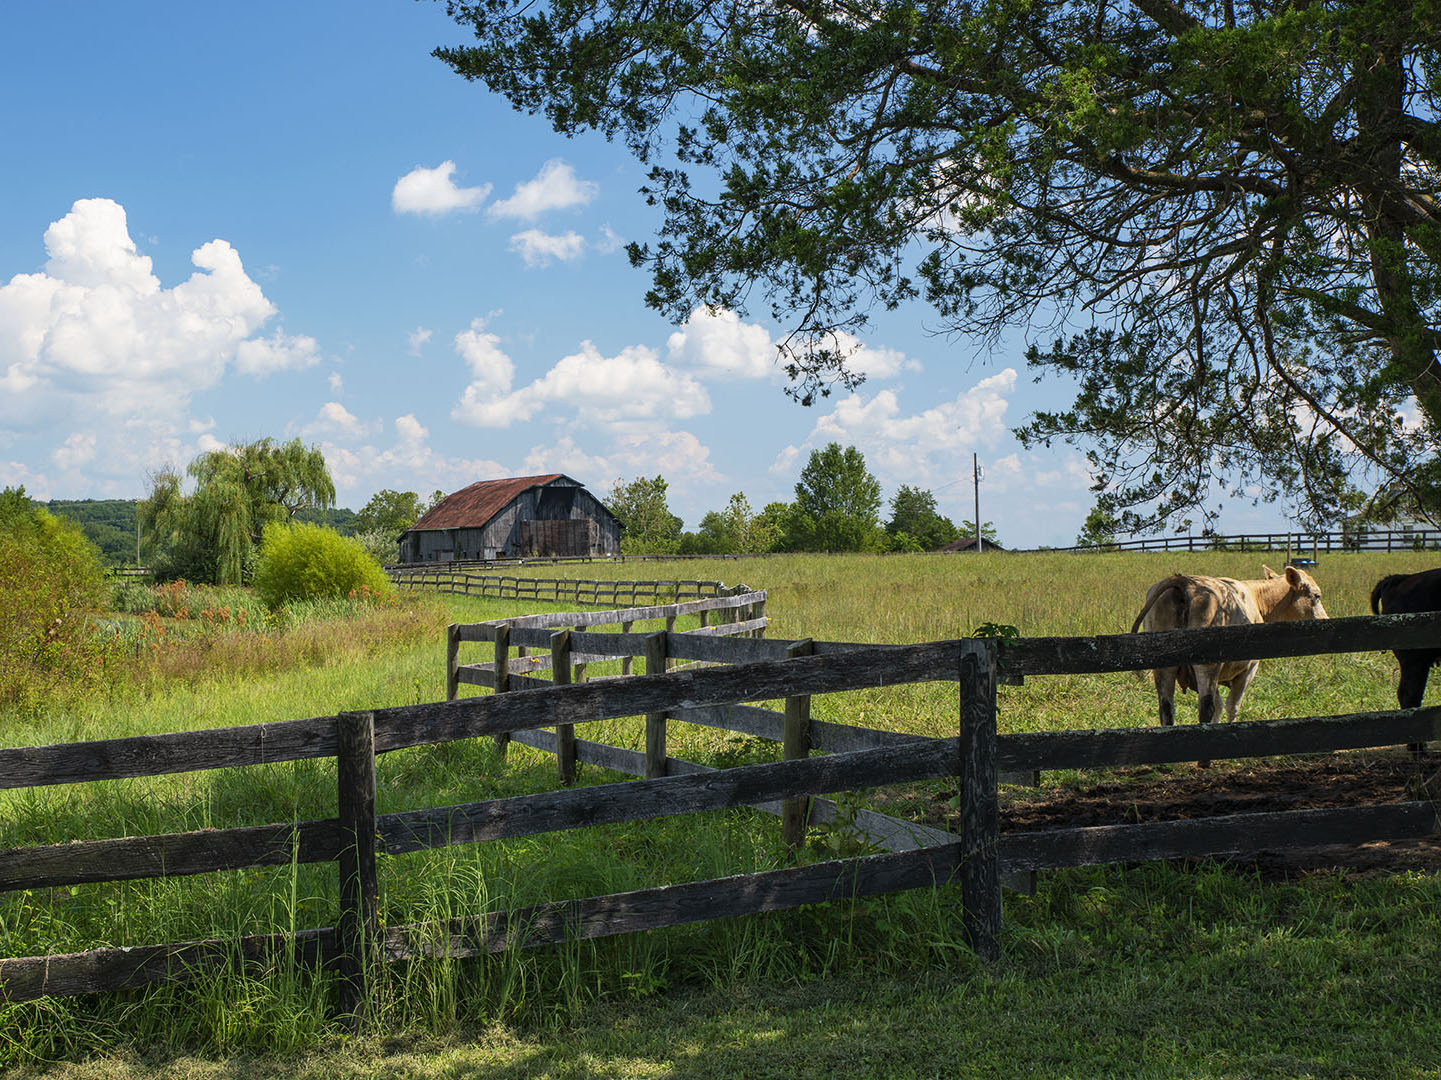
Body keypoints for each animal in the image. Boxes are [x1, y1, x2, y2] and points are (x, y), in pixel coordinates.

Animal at [1135, 565, 1325, 723]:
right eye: (1317, 596)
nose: (1326, 619)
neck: (1256, 598)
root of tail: (1184, 581)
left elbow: (1220, 706)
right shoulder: (1248, 670)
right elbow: (1232, 706)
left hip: (1163, 667)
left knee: (1167, 709)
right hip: (1207, 666)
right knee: (1206, 708)